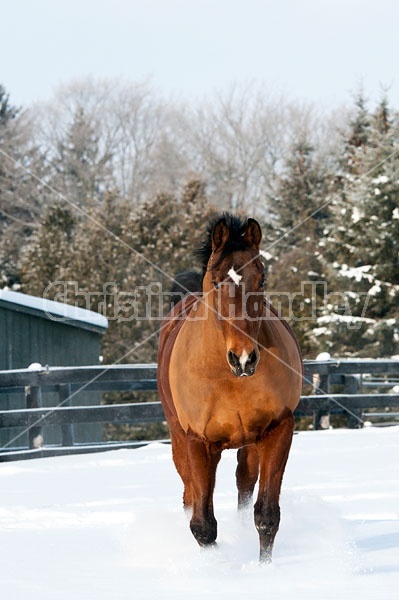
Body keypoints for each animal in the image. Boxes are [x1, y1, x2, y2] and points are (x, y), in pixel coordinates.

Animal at [158, 214, 302, 564]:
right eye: (215, 280)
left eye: (261, 279)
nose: (244, 358)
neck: (228, 379)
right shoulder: (197, 441)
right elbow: (203, 526)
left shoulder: (278, 429)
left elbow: (266, 515)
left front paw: (266, 569)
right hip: (180, 441)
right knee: (189, 497)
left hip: (249, 444)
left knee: (244, 485)